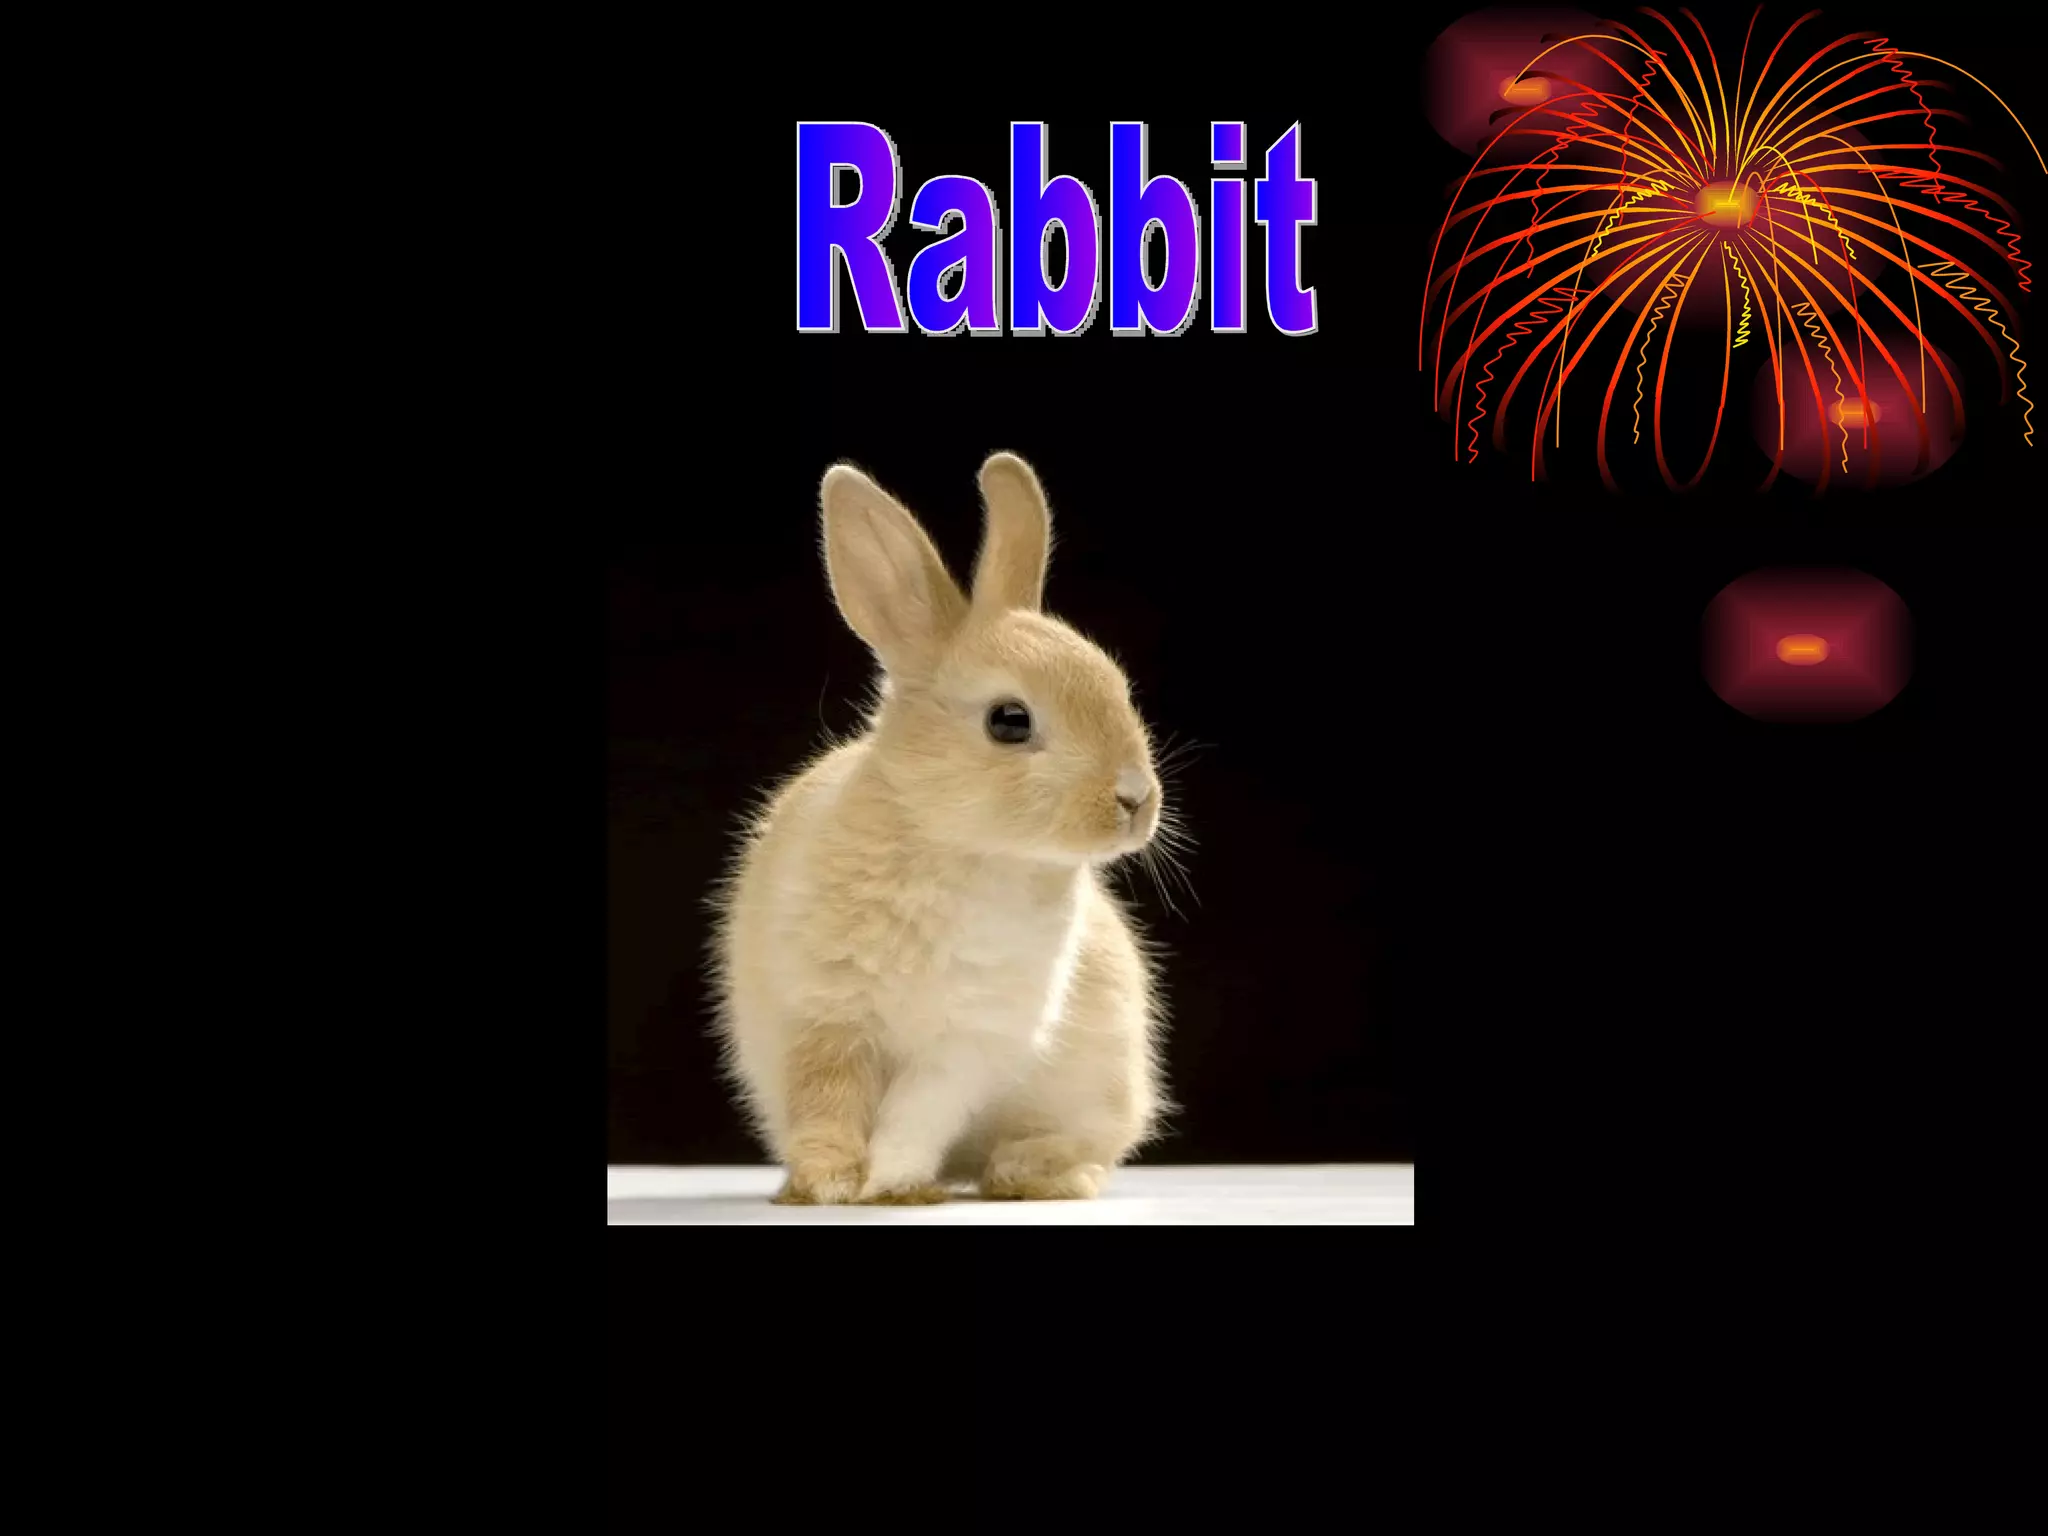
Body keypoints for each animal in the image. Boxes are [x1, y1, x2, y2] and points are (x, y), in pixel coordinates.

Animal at [708, 451, 1173, 1205]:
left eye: (1118, 689)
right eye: (1009, 721)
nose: (1136, 799)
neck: (954, 845)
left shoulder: (966, 1042)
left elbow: (916, 1114)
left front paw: (887, 1183)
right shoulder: (826, 1018)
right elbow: (827, 1103)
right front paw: (828, 1185)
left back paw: (1028, 1173)